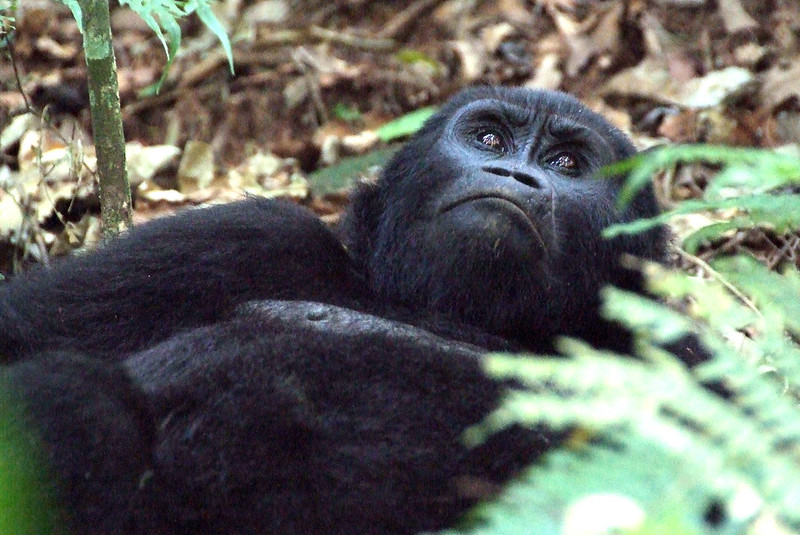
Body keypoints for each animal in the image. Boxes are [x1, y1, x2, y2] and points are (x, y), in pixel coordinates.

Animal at [1, 88, 688, 535]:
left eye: (566, 163)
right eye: (489, 138)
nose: (510, 174)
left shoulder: (678, 352)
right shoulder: (242, 237)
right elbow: (24, 327)